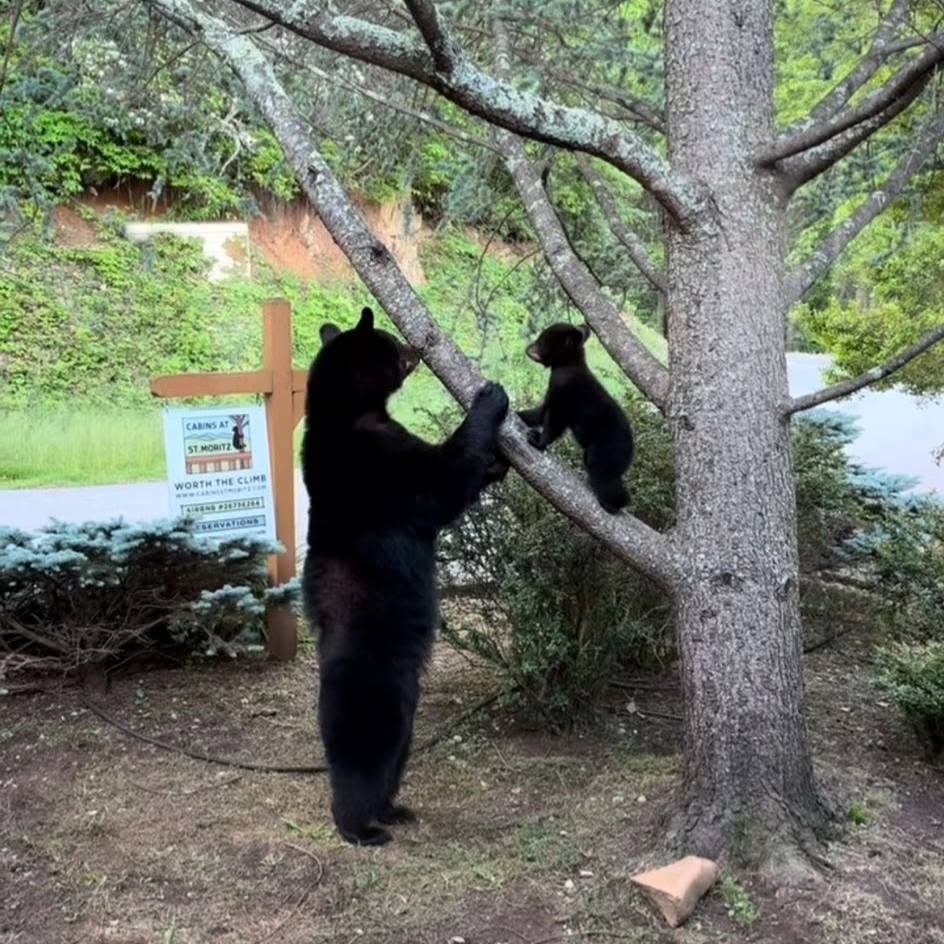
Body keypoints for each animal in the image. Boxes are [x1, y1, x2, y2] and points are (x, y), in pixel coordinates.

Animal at [301, 306, 509, 845]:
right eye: (394, 343)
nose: (417, 347)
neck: (345, 415)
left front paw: (500, 461)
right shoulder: (377, 463)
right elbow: (440, 480)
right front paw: (490, 401)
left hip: (407, 715)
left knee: (395, 762)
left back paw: (394, 810)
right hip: (380, 700)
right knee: (364, 764)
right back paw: (362, 828)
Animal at [518, 322, 634, 513]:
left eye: (542, 340)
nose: (528, 347)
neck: (566, 366)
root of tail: (631, 453)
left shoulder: (566, 392)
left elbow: (555, 421)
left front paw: (537, 440)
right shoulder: (553, 391)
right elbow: (540, 411)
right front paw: (519, 414)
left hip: (606, 449)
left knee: (602, 473)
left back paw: (612, 503)